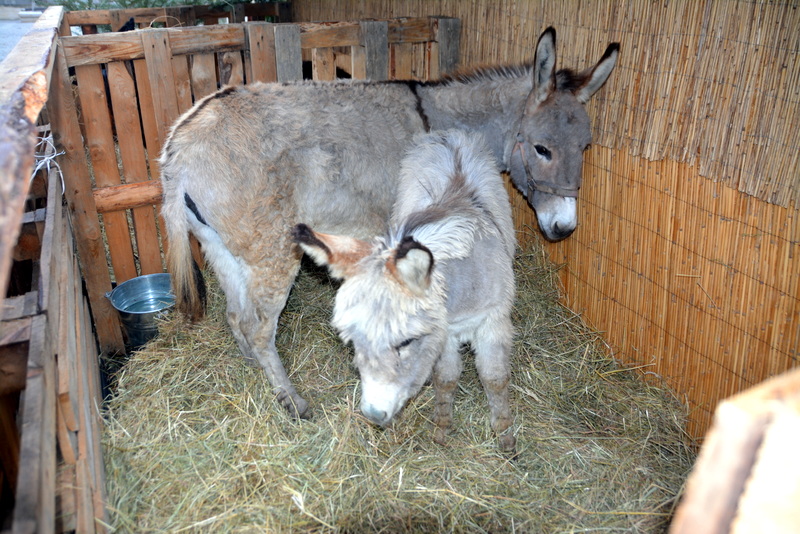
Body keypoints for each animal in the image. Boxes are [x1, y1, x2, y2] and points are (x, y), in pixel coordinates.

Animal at [159, 27, 619, 418]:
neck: (442, 120)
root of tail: (179, 148)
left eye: (585, 146)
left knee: (236, 318)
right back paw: (293, 401)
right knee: (258, 328)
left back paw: (257, 373)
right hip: (271, 251)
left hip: (223, 249)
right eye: (542, 149)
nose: (564, 227)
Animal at [293, 129, 517, 452]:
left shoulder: (493, 322)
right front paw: (442, 428)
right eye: (354, 342)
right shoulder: (444, 332)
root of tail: (449, 134)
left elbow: (495, 378)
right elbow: (446, 378)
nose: (374, 414)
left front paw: (505, 436)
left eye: (406, 341)